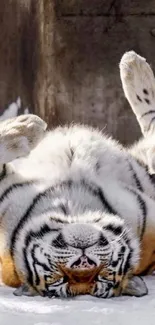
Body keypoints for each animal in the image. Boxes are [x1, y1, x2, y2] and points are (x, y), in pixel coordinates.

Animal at [0, 52, 155, 298]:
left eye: (102, 273)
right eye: (61, 277)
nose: (84, 260)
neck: (72, 205)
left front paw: (27, 126)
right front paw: (26, 127)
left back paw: (132, 65)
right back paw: (133, 65)